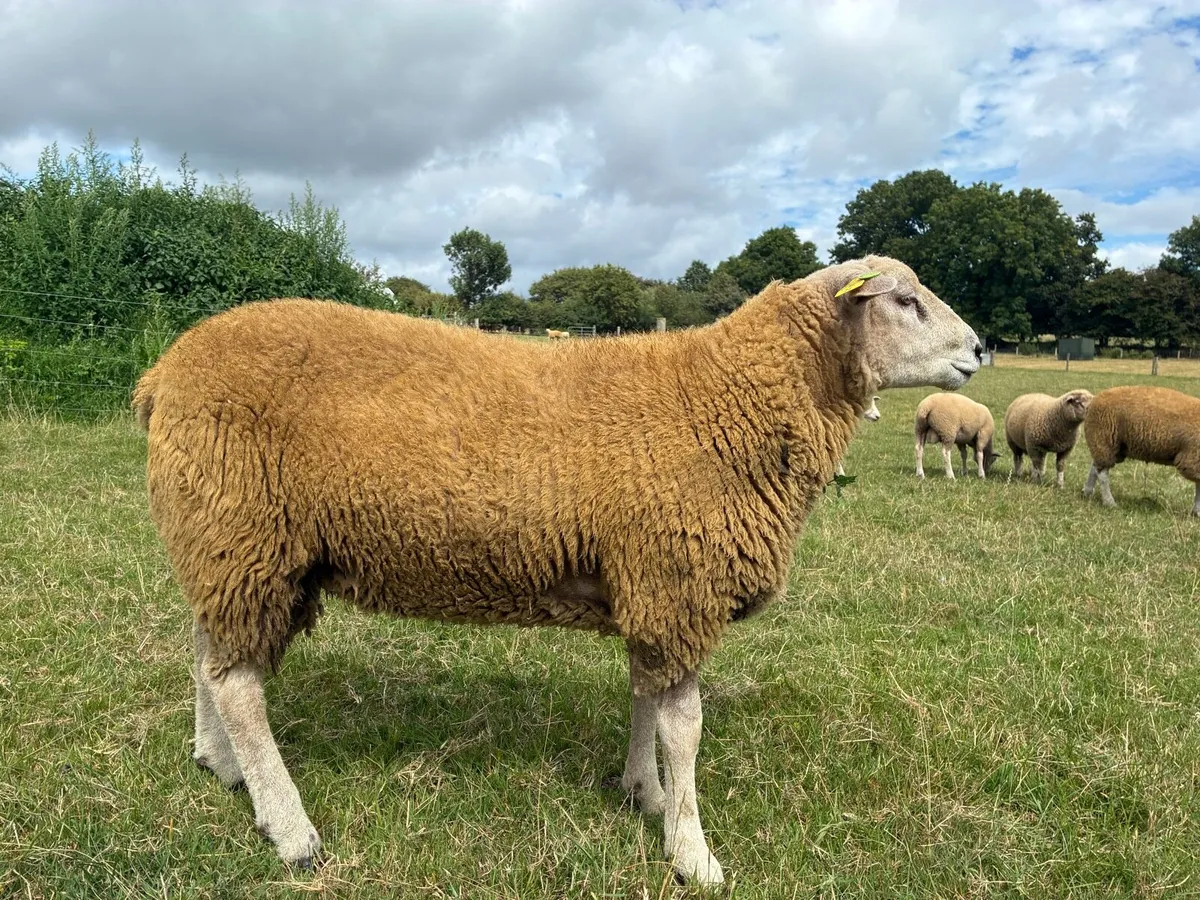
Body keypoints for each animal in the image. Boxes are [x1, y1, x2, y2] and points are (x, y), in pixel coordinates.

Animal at [132, 255, 981, 885]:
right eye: (905, 300)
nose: (980, 351)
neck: (729, 395)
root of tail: (164, 371)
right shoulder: (678, 580)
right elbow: (684, 726)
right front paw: (693, 852)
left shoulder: (648, 581)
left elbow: (645, 700)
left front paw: (644, 794)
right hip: (247, 530)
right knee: (239, 685)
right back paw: (290, 827)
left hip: (223, 543)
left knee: (208, 654)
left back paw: (220, 765)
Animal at [1082, 385, 1200, 516]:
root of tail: (1094, 400)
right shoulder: (1193, 460)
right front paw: (1197, 512)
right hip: (1104, 438)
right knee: (1102, 473)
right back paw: (1109, 502)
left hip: (1110, 445)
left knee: (1095, 465)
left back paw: (1087, 491)